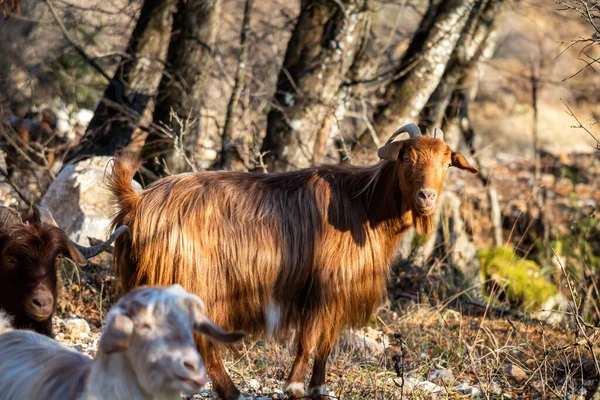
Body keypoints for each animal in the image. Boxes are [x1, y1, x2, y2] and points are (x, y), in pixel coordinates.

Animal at [109, 125, 478, 400]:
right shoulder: (323, 285)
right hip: (196, 283)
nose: (426, 197)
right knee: (202, 343)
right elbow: (308, 339)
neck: (364, 205)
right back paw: (233, 391)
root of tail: (138, 202)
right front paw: (296, 387)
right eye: (407, 157)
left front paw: (320, 387)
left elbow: (327, 342)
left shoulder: (338, 293)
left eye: (447, 163)